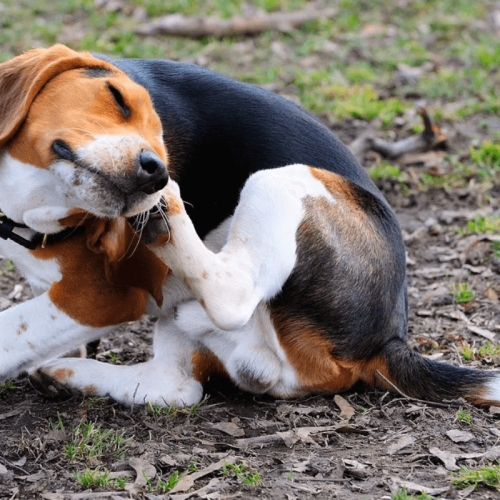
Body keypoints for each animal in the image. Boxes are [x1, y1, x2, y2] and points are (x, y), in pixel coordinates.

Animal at [0, 45, 500, 408]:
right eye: (116, 97)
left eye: (161, 140)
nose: (156, 170)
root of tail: (387, 339)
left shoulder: (101, 295)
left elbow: (12, 329)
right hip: (187, 325)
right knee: (177, 388)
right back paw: (69, 376)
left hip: (280, 178)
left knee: (232, 294)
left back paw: (168, 215)